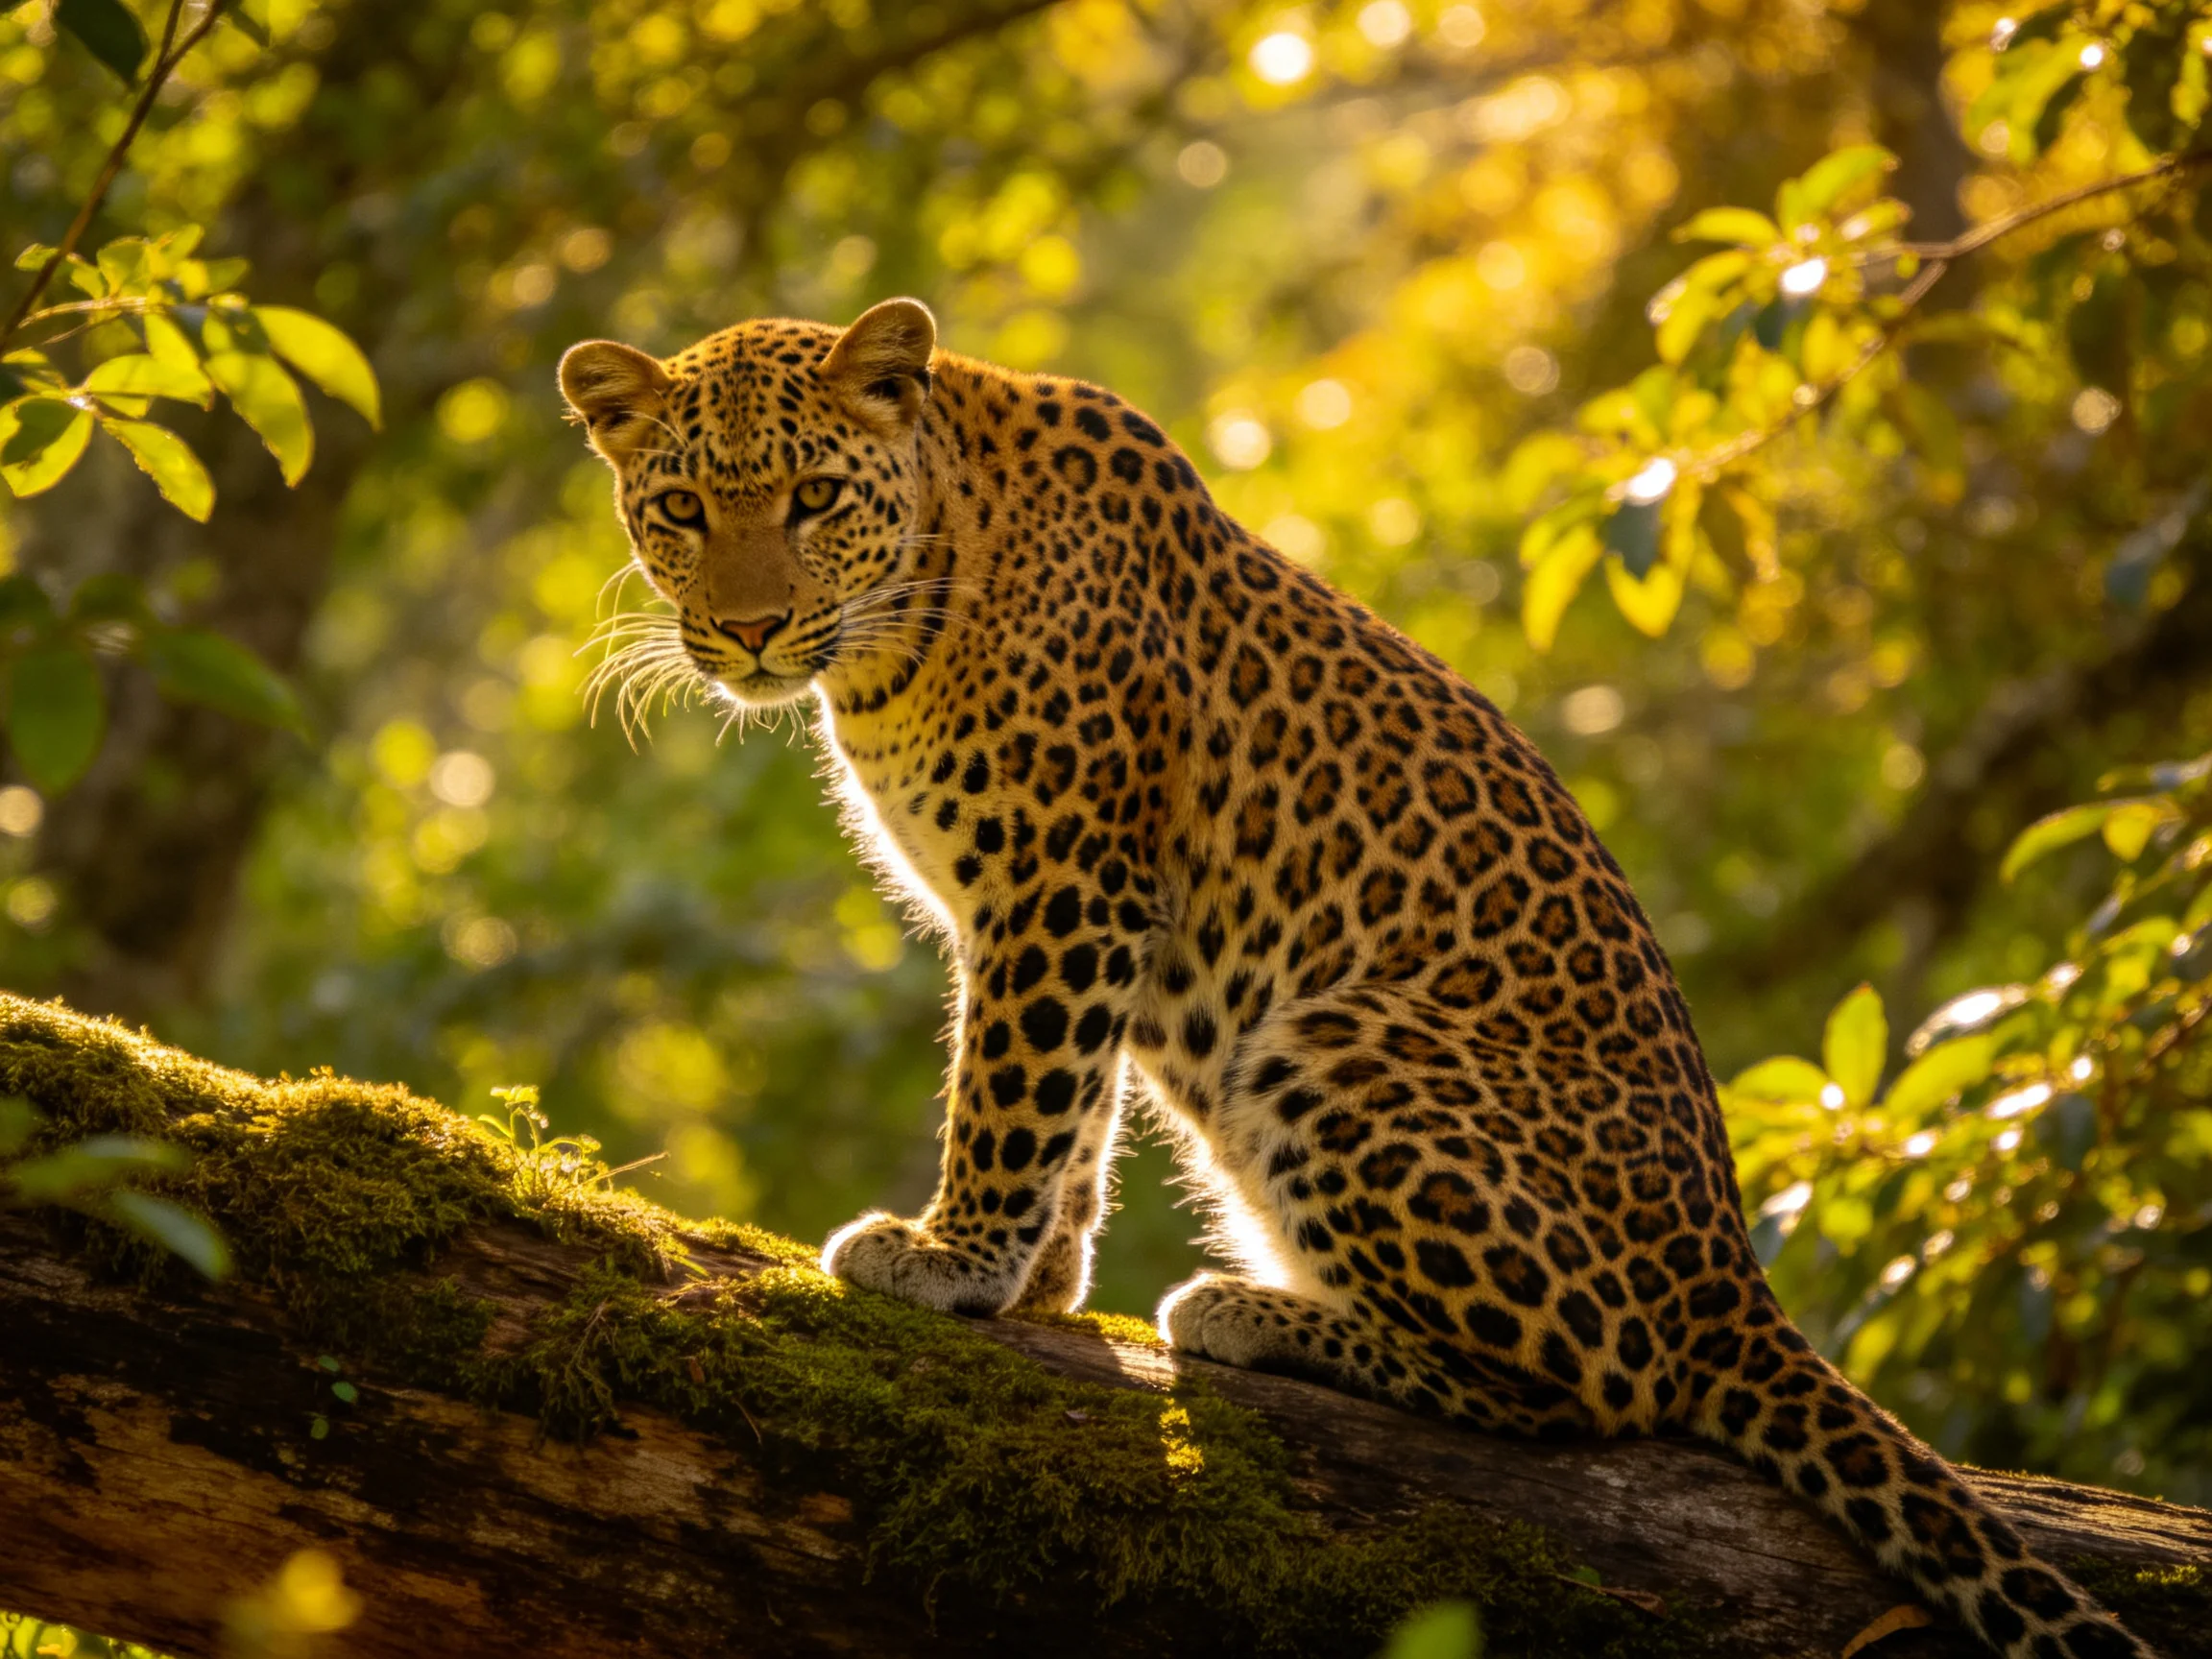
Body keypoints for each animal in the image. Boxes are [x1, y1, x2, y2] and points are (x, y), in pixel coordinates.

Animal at [559, 297, 2149, 1659]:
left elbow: (1016, 1084)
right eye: (681, 510)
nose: (750, 629)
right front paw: (1039, 1283)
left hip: (1334, 1043)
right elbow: (1074, 1106)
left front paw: (951, 1259)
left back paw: (1253, 1313)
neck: (914, 604)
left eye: (815, 499)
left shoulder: (1069, 876)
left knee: (1602, 1386)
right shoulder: (1046, 908)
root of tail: (1734, 1280)